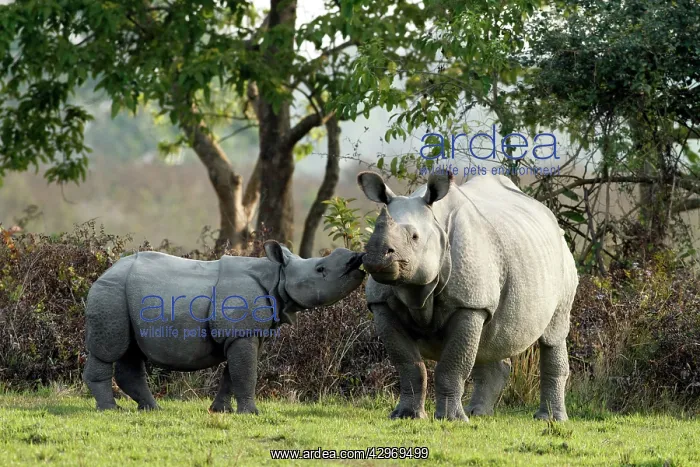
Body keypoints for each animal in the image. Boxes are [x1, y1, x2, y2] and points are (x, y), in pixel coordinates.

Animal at [82, 241, 365, 413]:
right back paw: (110, 410)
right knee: (108, 350)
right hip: (111, 293)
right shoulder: (241, 333)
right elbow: (245, 373)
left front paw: (222, 411)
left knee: (131, 352)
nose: (356, 259)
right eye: (320, 269)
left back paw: (151, 409)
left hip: (124, 295)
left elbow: (234, 373)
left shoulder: (245, 334)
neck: (278, 277)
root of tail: (105, 272)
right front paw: (252, 413)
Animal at [357, 171, 578, 421]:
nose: (376, 256)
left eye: (414, 237)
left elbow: (451, 365)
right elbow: (409, 366)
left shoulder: (469, 304)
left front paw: (451, 419)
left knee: (553, 333)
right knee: (488, 340)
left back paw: (549, 419)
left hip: (562, 261)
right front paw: (406, 416)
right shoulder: (381, 304)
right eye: (374, 231)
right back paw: (478, 413)